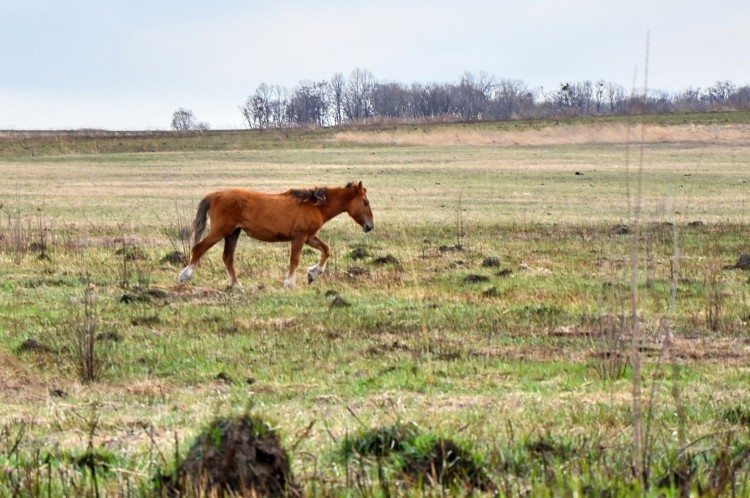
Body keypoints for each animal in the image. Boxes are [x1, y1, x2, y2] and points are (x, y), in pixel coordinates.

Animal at [177, 180, 376, 288]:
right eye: (365, 202)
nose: (370, 226)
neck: (314, 205)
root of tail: (214, 195)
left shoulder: (309, 237)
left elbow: (326, 250)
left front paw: (313, 274)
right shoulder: (299, 237)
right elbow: (295, 260)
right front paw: (290, 282)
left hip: (233, 233)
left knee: (228, 257)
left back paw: (236, 284)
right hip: (221, 230)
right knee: (199, 248)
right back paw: (185, 275)